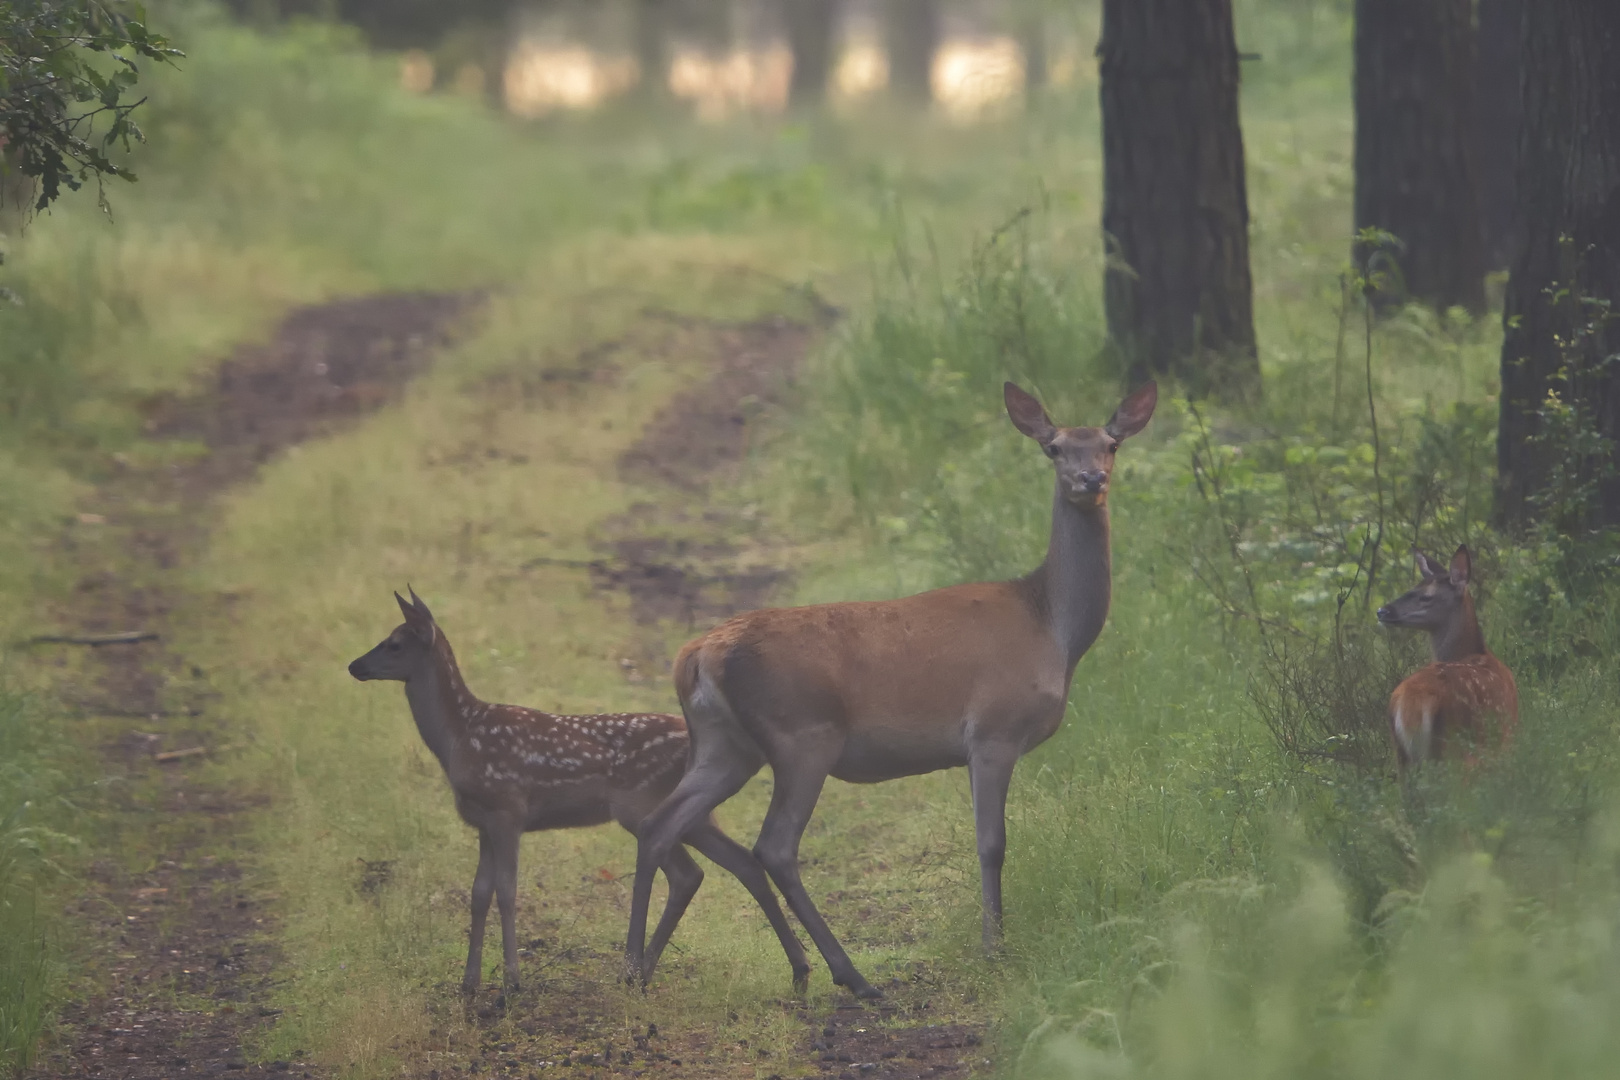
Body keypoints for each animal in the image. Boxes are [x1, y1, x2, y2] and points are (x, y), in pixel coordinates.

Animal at [353, 592, 810, 997]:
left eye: (395, 642)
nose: (354, 665)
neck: (459, 738)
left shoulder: (507, 810)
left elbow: (506, 891)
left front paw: (512, 983)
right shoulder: (482, 820)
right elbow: (479, 894)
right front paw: (469, 983)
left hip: (639, 804)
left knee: (688, 871)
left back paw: (641, 971)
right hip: (693, 814)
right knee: (735, 864)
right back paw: (793, 969)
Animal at [615, 378, 1153, 997]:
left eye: (1110, 444)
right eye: (1055, 447)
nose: (1091, 480)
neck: (1052, 627)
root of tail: (696, 655)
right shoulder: (994, 729)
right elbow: (992, 844)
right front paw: (995, 949)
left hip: (725, 744)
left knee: (661, 825)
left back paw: (637, 967)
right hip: (804, 733)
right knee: (774, 845)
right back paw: (851, 975)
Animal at [1380, 550, 1516, 777]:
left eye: (1426, 596)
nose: (1382, 611)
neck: (1473, 652)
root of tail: (1411, 705)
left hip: (1403, 757)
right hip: (1457, 748)